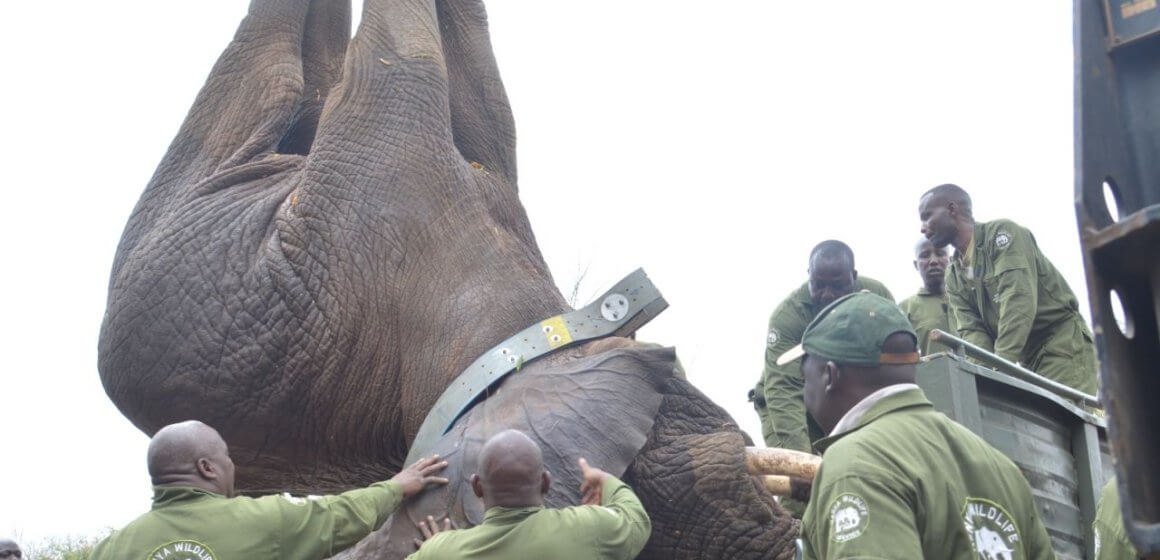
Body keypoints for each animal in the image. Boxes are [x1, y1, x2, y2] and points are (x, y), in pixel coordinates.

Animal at [99, 2, 802, 558]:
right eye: (722, 474)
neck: (526, 339)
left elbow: (479, 90)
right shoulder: (386, 189)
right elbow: (417, 62)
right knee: (273, 69)